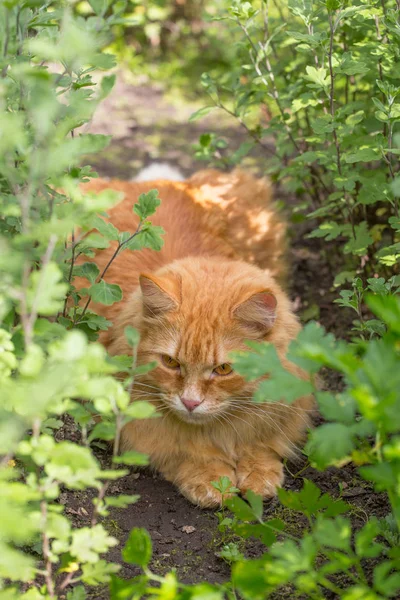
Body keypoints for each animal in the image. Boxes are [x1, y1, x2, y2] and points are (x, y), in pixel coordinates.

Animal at [75, 169, 312, 506]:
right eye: (171, 362)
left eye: (224, 369)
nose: (190, 402)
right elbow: (183, 452)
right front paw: (210, 479)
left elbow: (261, 446)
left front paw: (259, 474)